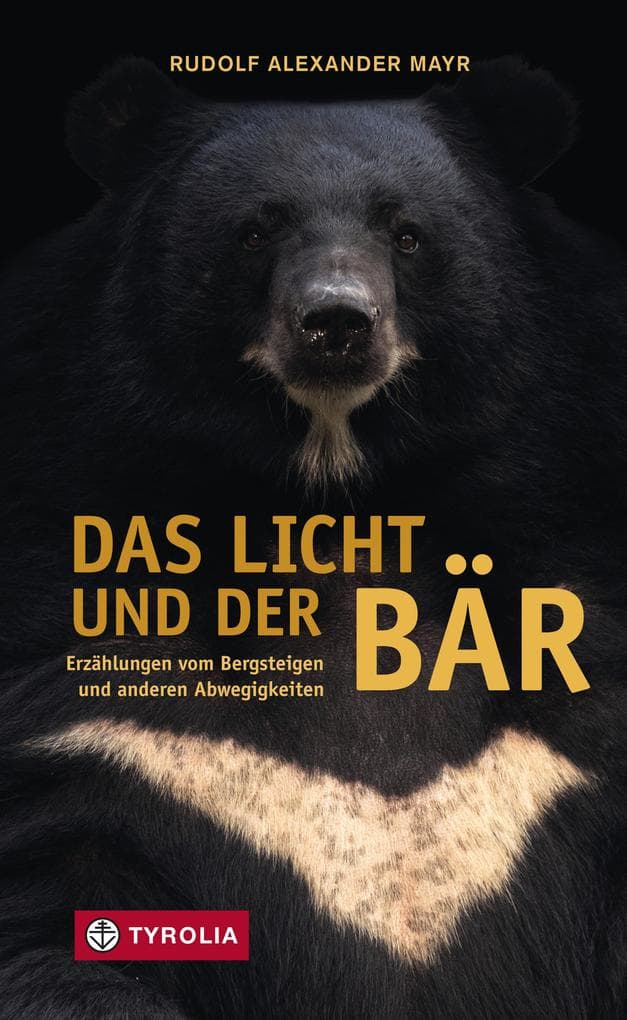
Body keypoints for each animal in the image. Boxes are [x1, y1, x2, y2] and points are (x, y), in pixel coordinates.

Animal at [0, 55, 625, 1019]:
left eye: (407, 234)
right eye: (255, 230)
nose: (336, 322)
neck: (335, 508)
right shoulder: (90, 724)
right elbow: (46, 924)